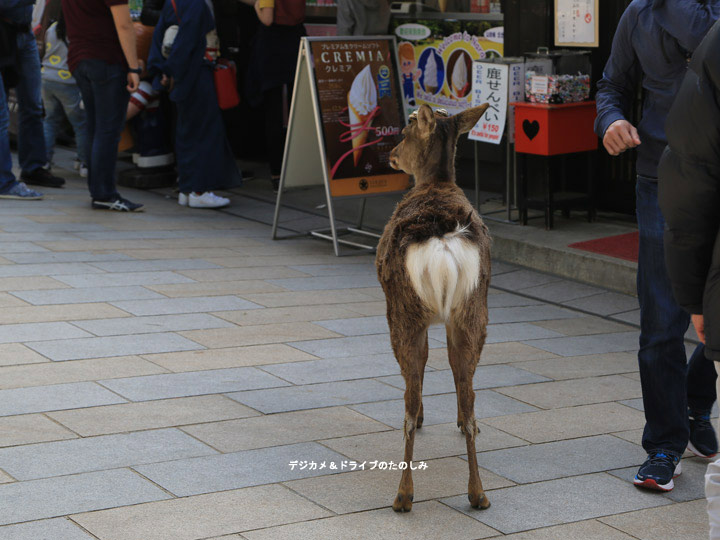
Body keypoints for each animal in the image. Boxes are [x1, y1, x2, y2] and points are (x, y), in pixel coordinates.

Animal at [376, 103, 490, 512]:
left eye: (405, 131)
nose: (391, 155)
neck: (435, 183)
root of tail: (442, 244)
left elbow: (424, 366)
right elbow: (453, 373)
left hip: (403, 310)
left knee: (408, 402)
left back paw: (403, 496)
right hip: (473, 311)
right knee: (470, 394)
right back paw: (478, 494)